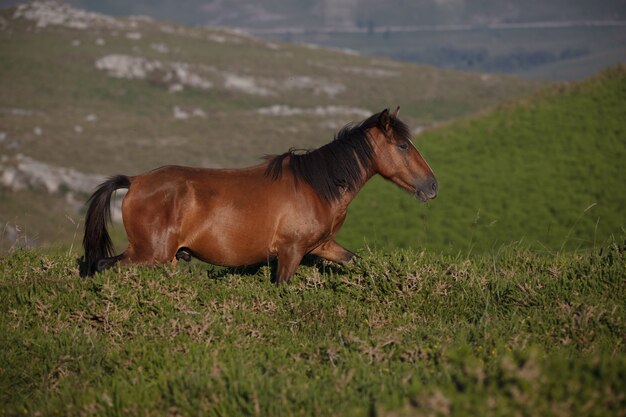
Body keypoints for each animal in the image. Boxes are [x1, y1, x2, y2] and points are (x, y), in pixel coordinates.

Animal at [81, 108, 434, 282]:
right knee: (104, 267)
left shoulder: (323, 247)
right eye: (403, 145)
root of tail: (136, 181)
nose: (432, 186)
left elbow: (356, 262)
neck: (315, 187)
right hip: (148, 254)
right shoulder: (291, 252)